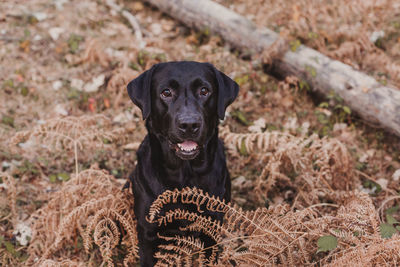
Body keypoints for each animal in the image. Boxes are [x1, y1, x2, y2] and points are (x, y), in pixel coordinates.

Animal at [127, 61, 238, 266]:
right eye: (166, 92)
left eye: (204, 91)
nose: (189, 124)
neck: (184, 176)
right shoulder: (148, 231)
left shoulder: (212, 229)